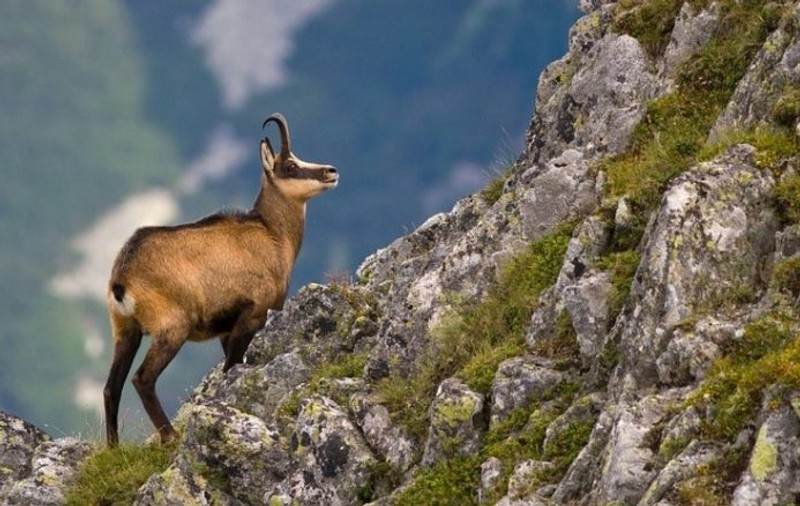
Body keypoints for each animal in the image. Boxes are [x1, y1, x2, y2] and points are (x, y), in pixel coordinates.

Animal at [103, 113, 338, 447]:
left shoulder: (227, 329)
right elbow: (231, 367)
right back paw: (170, 435)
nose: (331, 171)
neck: (272, 234)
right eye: (290, 165)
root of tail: (121, 278)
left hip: (125, 331)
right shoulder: (252, 314)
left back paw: (113, 447)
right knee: (142, 379)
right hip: (172, 328)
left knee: (112, 387)